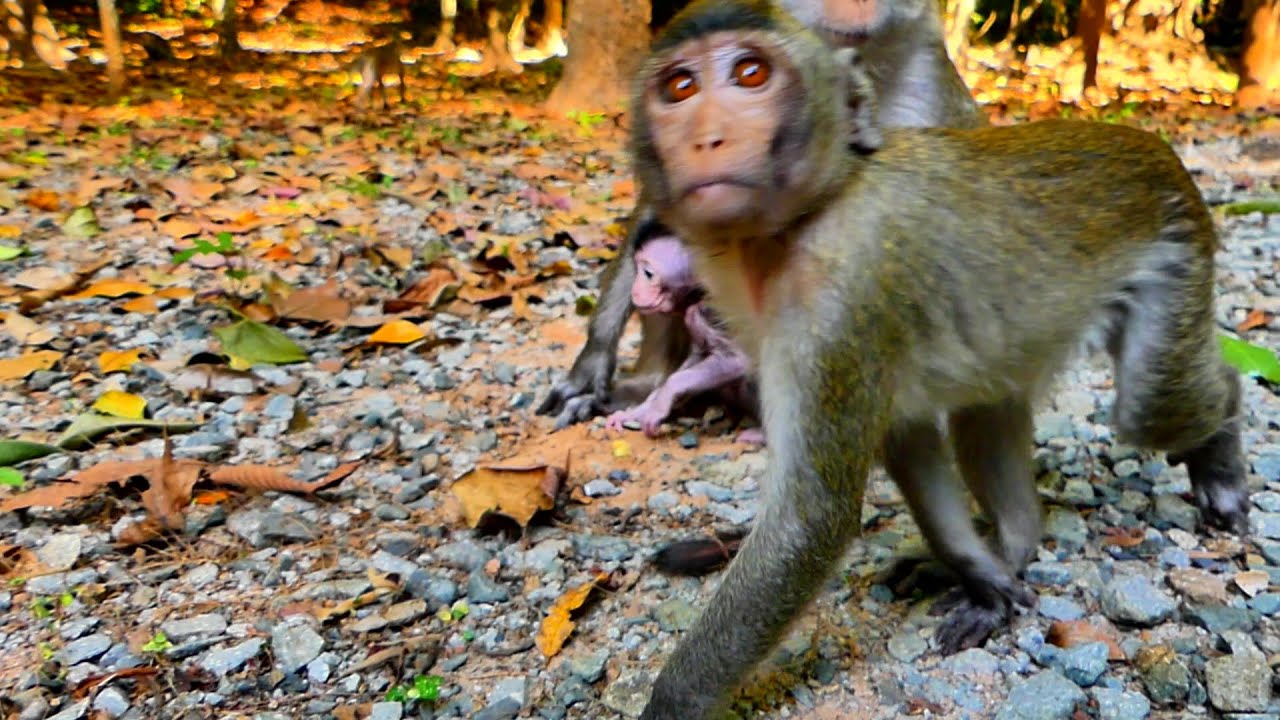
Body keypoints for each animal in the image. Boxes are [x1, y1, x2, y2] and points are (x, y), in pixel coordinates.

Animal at [603, 233, 762, 441]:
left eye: (648, 273)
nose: (634, 290)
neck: (700, 291)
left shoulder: (714, 310)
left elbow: (739, 360)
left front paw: (659, 405)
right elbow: (696, 358)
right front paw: (637, 411)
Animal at [629, 2, 1248, 717]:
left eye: (751, 73)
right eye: (679, 87)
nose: (707, 138)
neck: (804, 216)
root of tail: (1150, 144)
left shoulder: (844, 299)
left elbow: (809, 520)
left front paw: (672, 701)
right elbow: (905, 432)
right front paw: (978, 571)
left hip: (1176, 250)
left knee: (1154, 407)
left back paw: (1221, 444)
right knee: (989, 409)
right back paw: (1010, 545)